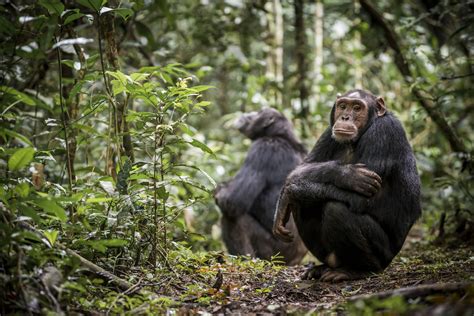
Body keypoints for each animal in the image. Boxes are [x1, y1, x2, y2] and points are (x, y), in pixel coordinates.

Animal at [215, 108, 308, 264]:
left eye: (259, 112)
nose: (249, 113)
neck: (282, 136)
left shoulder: (263, 149)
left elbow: (232, 201)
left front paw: (219, 190)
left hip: (275, 254)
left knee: (235, 218)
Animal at [274, 89, 422, 282]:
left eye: (357, 108)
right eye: (343, 106)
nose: (345, 117)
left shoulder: (384, 132)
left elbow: (362, 199)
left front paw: (291, 192)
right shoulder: (328, 133)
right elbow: (302, 168)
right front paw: (347, 175)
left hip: (384, 256)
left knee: (336, 210)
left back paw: (357, 270)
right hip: (331, 256)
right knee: (303, 205)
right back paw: (321, 268)